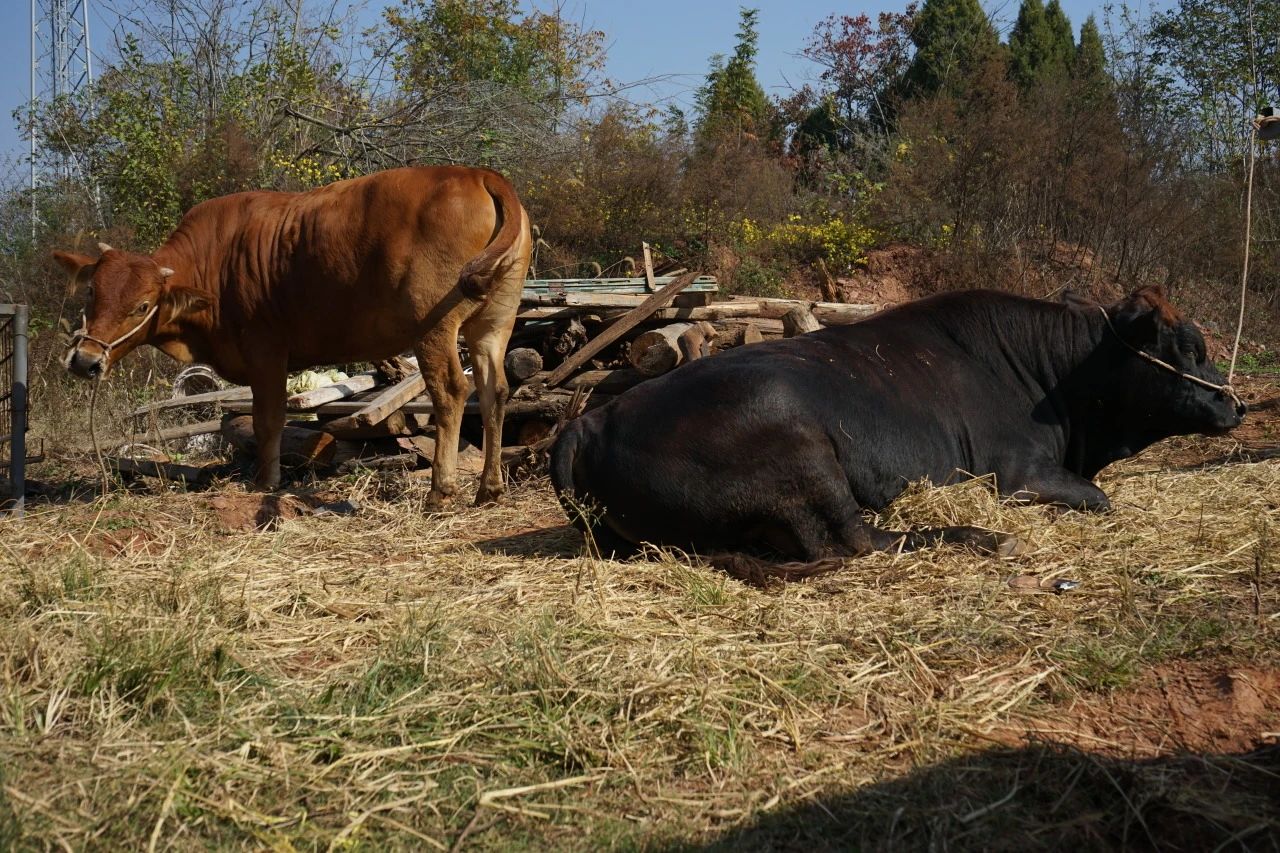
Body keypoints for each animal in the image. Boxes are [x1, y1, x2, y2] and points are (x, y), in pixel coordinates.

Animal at [56, 162, 529, 502]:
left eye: (141, 305)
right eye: (92, 293)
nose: (85, 360)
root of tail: (476, 173)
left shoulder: (265, 350)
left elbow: (268, 420)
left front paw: (265, 482)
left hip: (434, 327)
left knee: (452, 392)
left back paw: (440, 491)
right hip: (493, 325)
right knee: (494, 391)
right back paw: (489, 489)